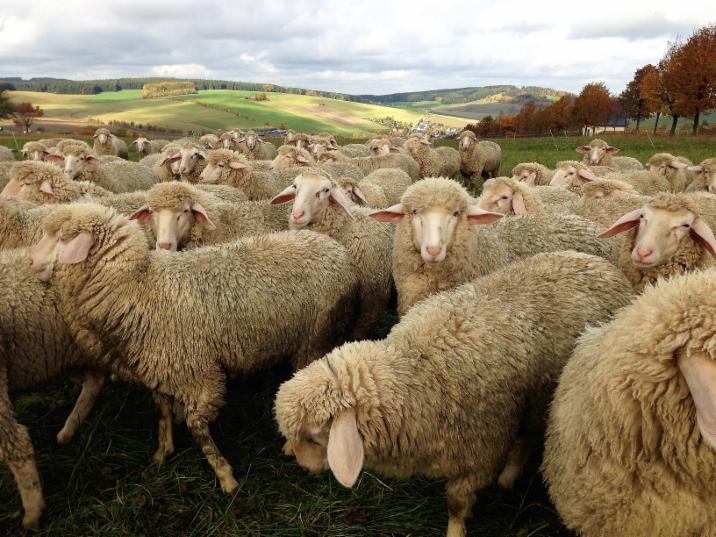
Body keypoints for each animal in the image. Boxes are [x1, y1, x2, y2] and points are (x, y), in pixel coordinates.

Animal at [29, 203, 361, 493]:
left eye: (62, 238)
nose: (31, 263)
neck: (138, 286)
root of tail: (334, 247)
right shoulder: (160, 366)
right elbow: (162, 411)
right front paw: (162, 452)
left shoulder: (198, 373)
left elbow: (197, 426)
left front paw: (225, 476)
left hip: (315, 337)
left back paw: (290, 445)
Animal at [275, 250, 633, 537]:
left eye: (316, 434)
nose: (303, 468)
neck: (417, 372)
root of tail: (605, 268)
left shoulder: (478, 453)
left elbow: (456, 503)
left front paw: (456, 530)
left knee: (529, 436)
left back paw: (508, 477)